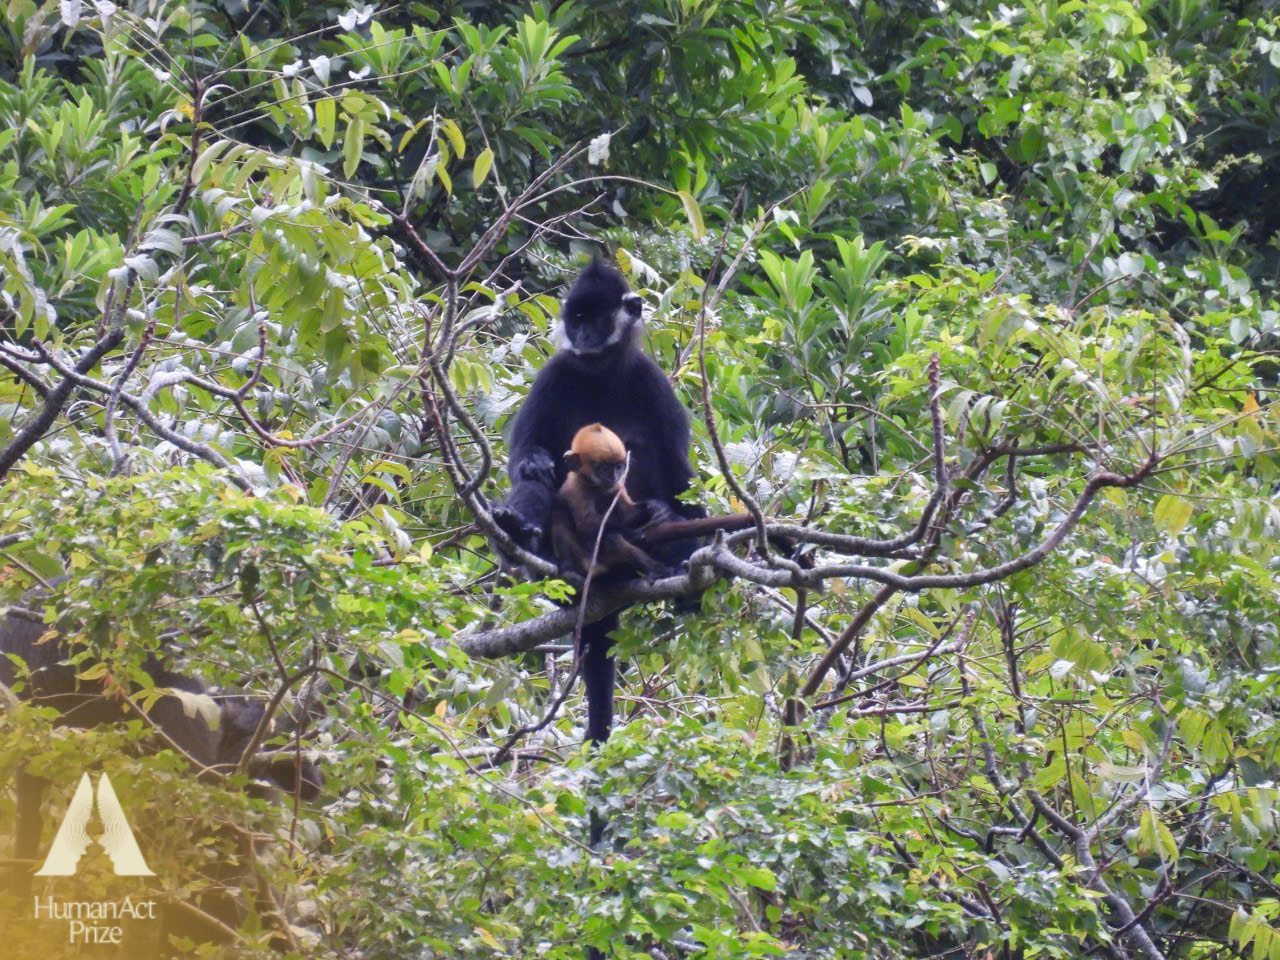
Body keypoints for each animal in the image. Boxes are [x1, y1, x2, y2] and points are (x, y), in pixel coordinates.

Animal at [550, 427, 670, 578]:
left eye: (618, 467)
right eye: (604, 469)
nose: (614, 477)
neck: (596, 487)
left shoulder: (617, 486)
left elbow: (628, 517)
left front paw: (658, 508)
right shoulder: (577, 488)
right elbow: (586, 524)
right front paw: (633, 534)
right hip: (584, 557)